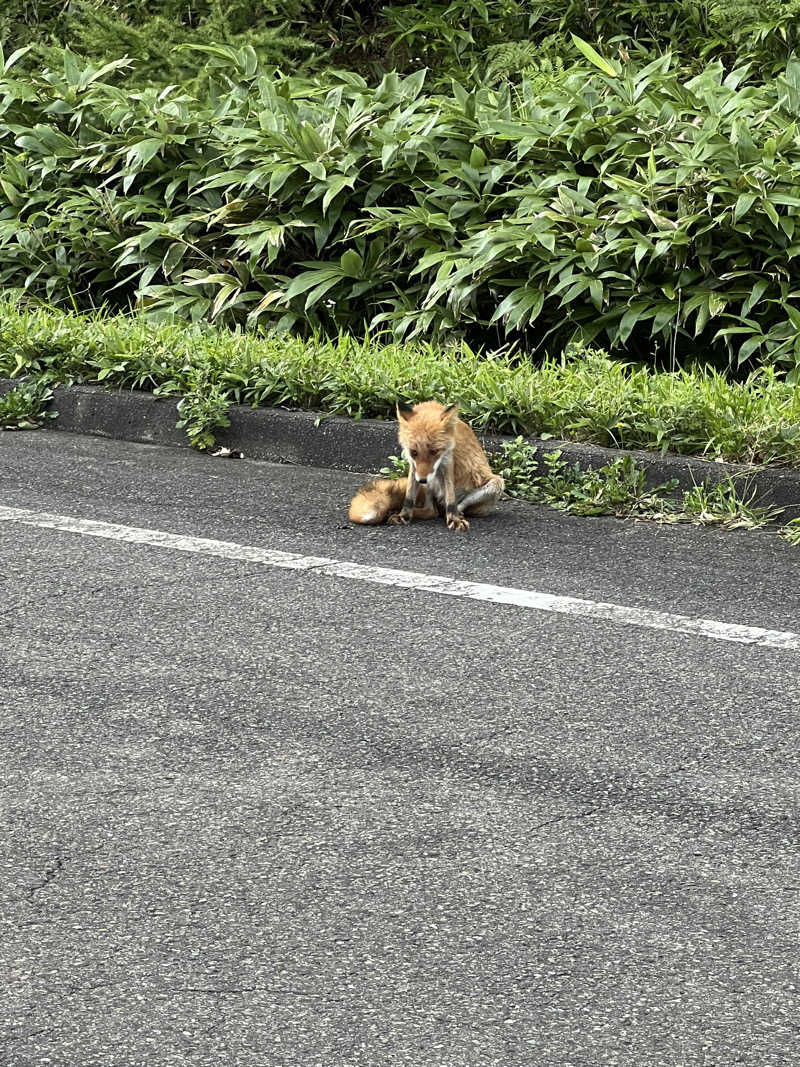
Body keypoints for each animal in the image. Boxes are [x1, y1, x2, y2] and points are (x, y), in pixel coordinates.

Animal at [347, 401, 503, 533]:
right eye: (414, 452)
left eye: (434, 451)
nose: (422, 480)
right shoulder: (414, 467)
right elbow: (409, 496)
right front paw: (403, 516)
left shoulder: (447, 461)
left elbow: (451, 500)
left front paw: (454, 520)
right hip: (430, 485)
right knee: (430, 511)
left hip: (496, 484)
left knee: (451, 507)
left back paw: (456, 514)